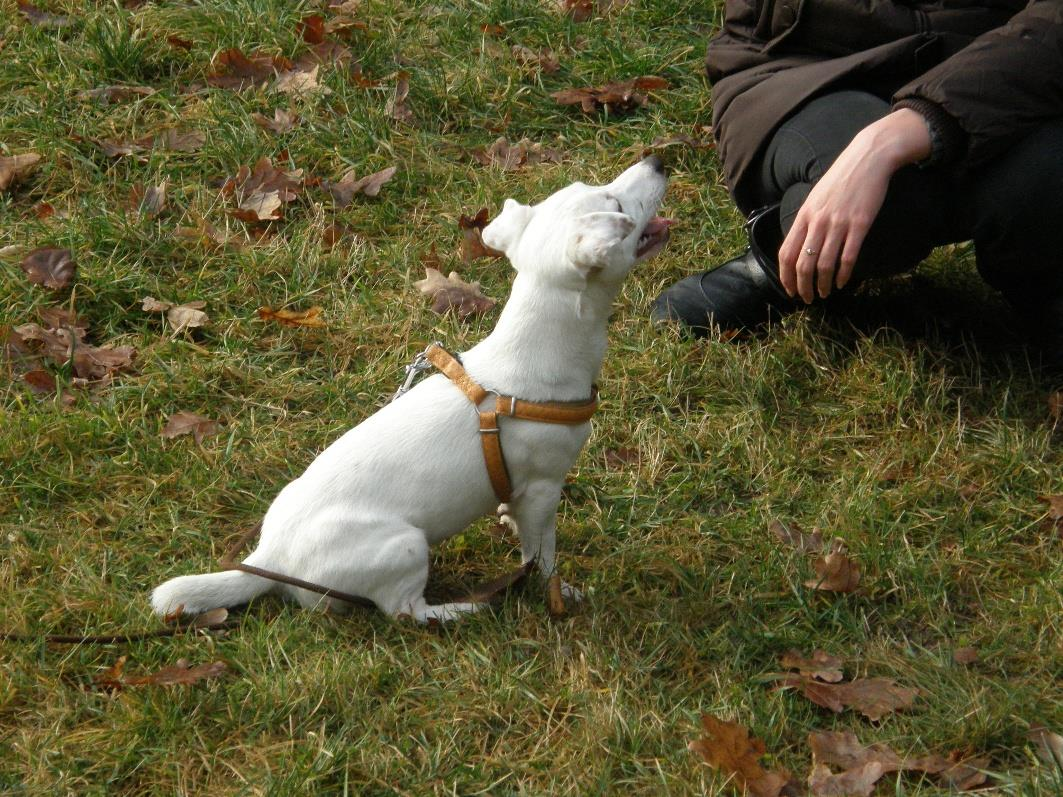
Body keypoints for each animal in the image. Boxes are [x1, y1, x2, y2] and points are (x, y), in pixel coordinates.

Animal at [152, 156, 663, 624]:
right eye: (617, 205)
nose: (657, 160)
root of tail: (270, 561)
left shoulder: (523, 492)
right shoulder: (542, 489)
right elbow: (542, 558)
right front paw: (560, 592)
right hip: (407, 547)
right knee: (405, 612)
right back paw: (461, 609)